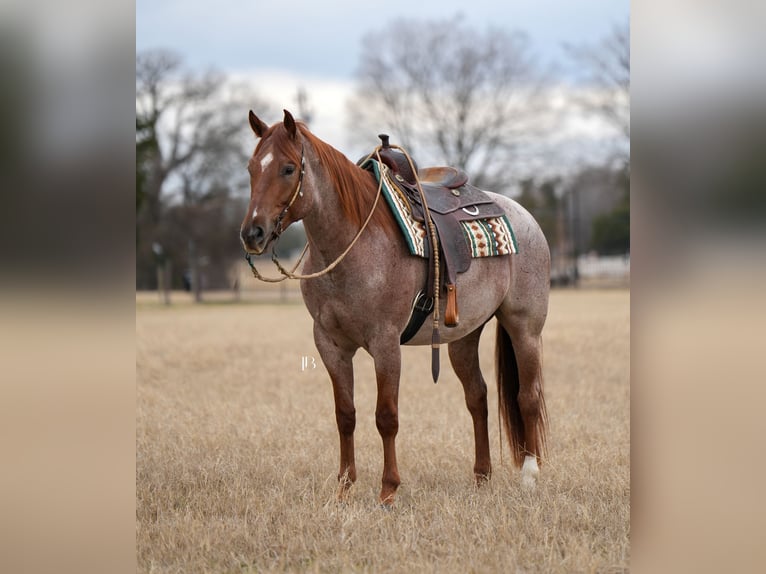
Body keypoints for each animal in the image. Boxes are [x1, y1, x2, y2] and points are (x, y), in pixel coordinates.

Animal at [240, 109, 550, 506]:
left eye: (288, 168)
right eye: (251, 168)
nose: (253, 233)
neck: (354, 244)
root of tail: (523, 216)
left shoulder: (385, 343)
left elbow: (386, 416)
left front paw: (388, 490)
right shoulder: (330, 345)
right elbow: (345, 415)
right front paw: (344, 487)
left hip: (524, 328)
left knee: (528, 397)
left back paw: (530, 476)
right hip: (464, 337)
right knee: (477, 397)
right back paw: (481, 476)